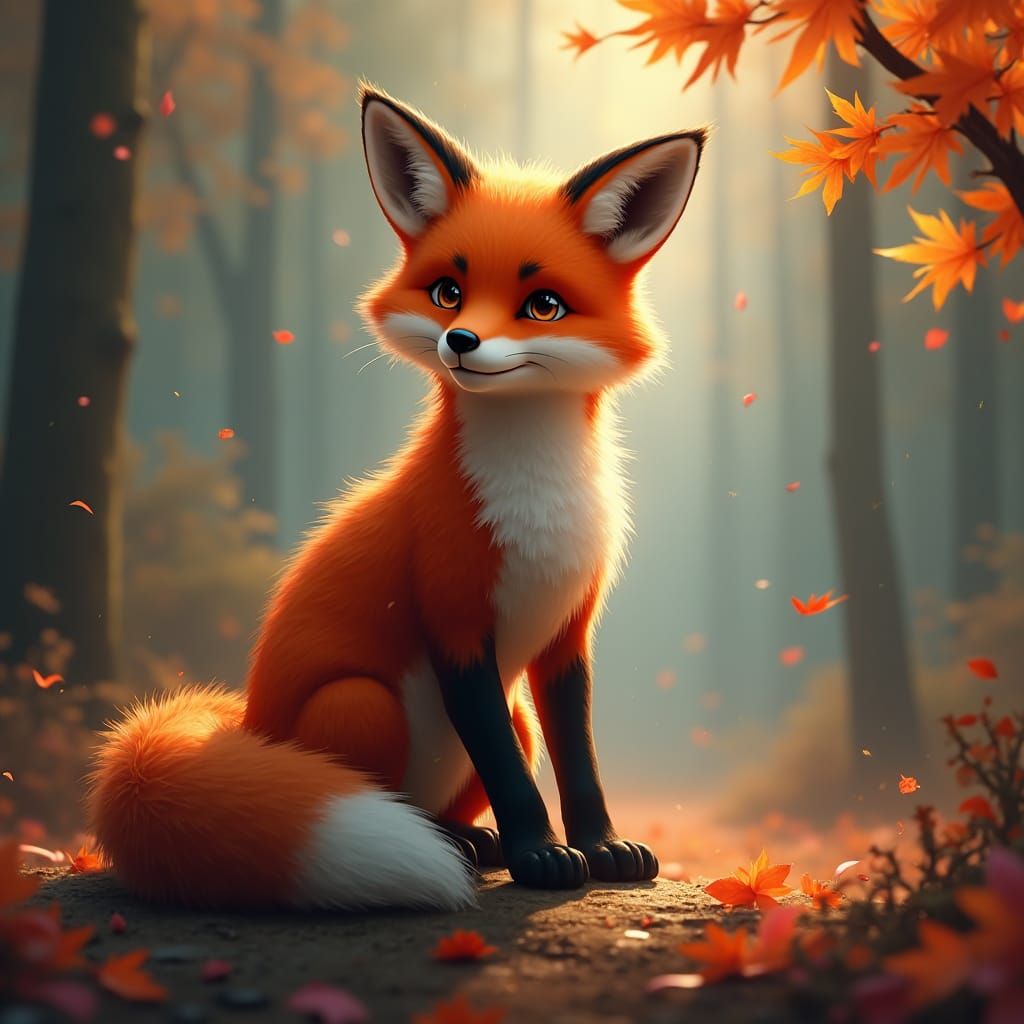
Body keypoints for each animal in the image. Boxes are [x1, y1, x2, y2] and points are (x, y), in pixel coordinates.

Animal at [88, 85, 705, 912]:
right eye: (449, 291)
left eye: (543, 305)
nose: (461, 342)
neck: (536, 501)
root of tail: (243, 724)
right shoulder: (455, 620)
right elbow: (511, 775)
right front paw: (541, 855)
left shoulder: (567, 636)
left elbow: (578, 758)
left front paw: (602, 847)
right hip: (360, 703)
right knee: (395, 794)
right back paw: (451, 845)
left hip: (509, 711)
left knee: (463, 792)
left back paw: (468, 840)